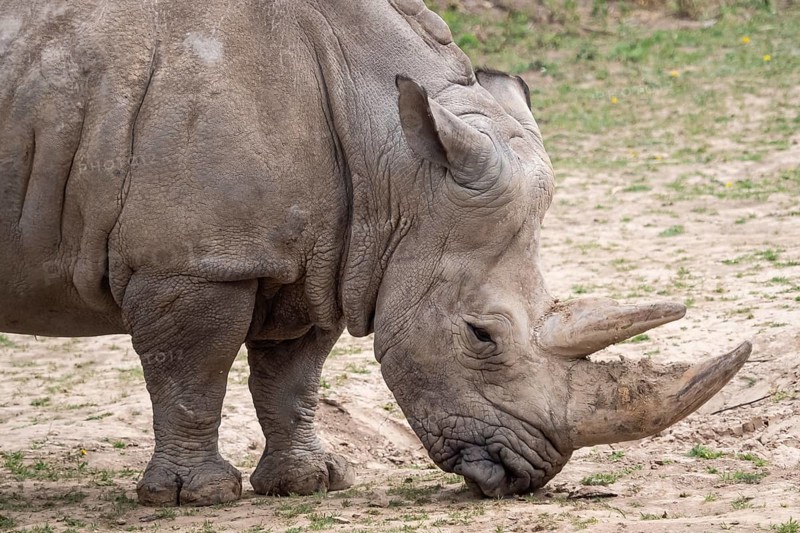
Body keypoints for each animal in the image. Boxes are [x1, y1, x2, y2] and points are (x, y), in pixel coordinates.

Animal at [0, 0, 751, 506]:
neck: (395, 162)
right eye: (481, 336)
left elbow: (292, 376)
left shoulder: (317, 254)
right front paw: (198, 496)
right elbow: (191, 372)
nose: (525, 475)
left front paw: (312, 481)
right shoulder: (193, 259)